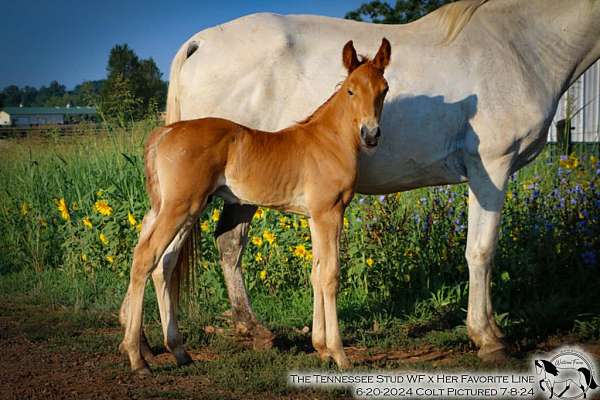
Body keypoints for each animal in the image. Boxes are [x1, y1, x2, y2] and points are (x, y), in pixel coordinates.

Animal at [120, 39, 394, 374]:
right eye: (351, 90)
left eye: (384, 89)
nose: (371, 134)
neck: (328, 140)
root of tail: (165, 132)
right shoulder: (328, 213)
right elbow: (330, 276)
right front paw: (339, 354)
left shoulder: (315, 217)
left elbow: (316, 273)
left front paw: (321, 348)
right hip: (180, 207)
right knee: (145, 257)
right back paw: (137, 358)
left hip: (176, 208)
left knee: (164, 262)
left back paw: (179, 351)